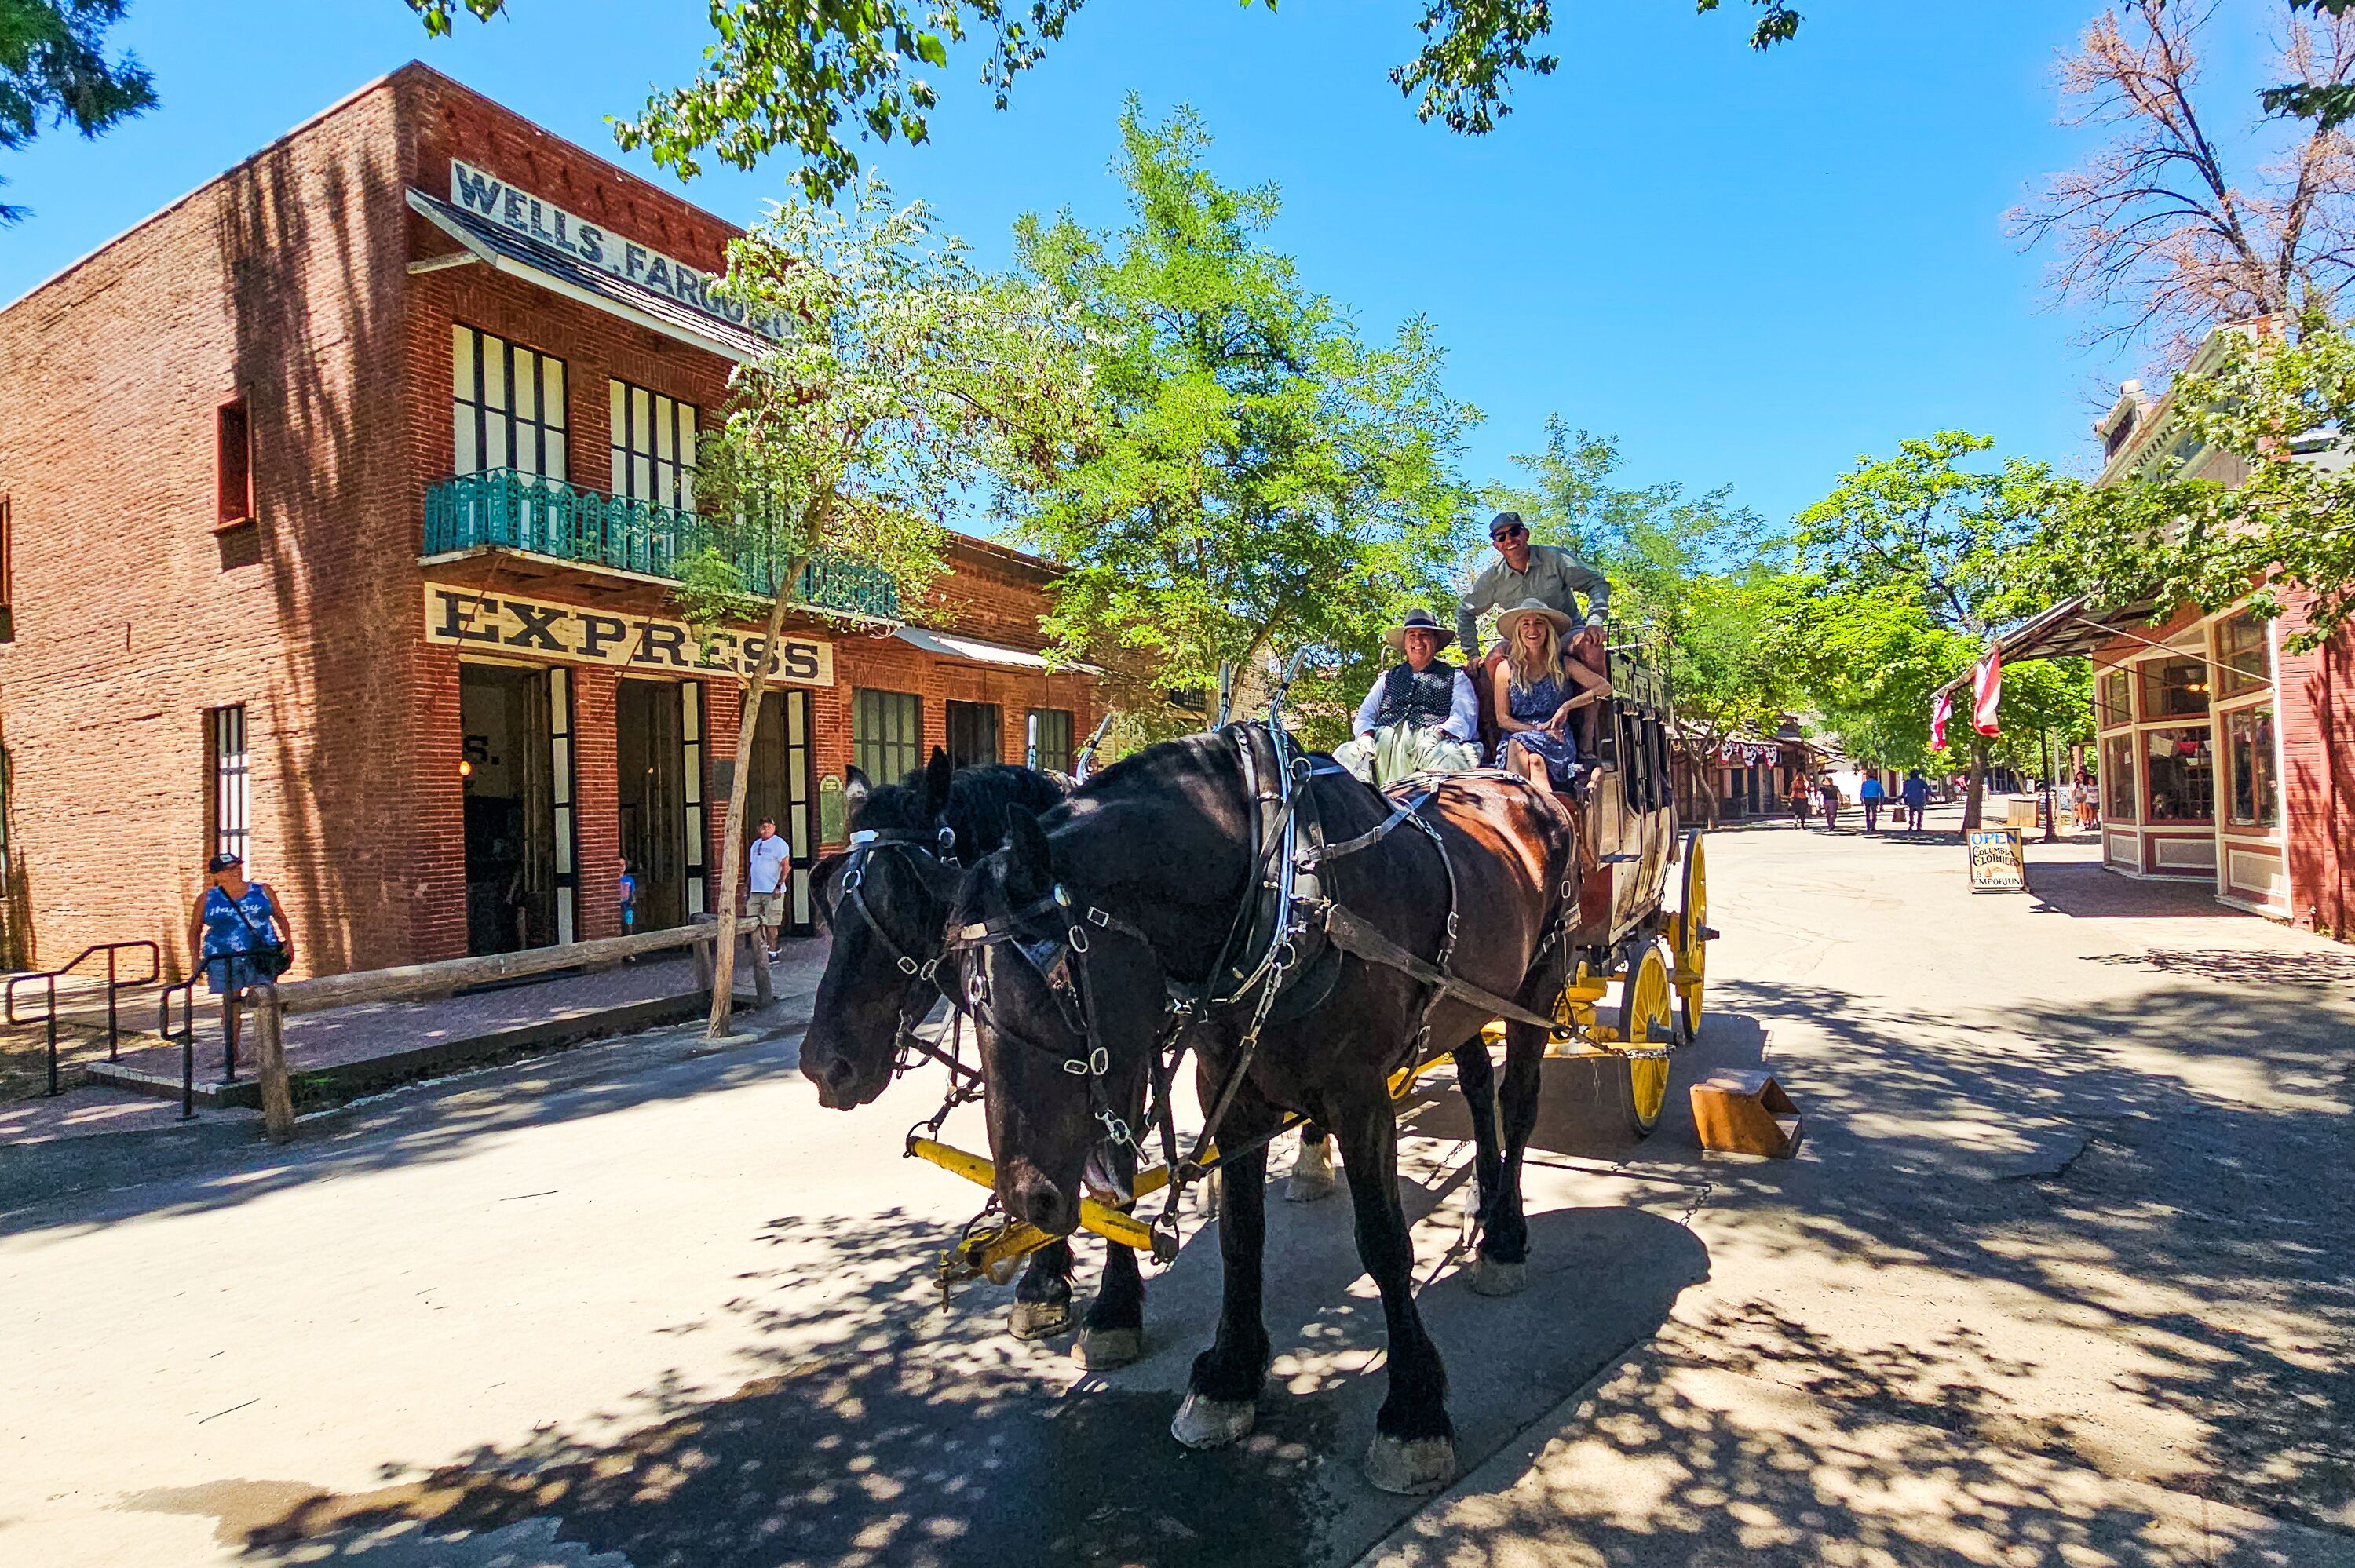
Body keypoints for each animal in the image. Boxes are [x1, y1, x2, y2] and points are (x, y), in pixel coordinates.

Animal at [942, 735, 1583, 1488]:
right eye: (958, 988)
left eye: (1054, 980)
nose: (1026, 1201)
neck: (1281, 893)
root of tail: (1521, 783)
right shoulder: (1229, 1092)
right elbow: (1240, 1236)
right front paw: (1230, 1374)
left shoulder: (1360, 1095)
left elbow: (1384, 1241)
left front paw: (1413, 1410)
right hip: (1462, 1004)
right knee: (1480, 1085)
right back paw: (1483, 1199)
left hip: (1537, 987)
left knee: (1519, 1104)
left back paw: (1504, 1234)